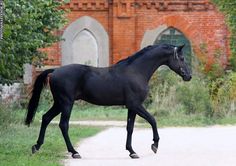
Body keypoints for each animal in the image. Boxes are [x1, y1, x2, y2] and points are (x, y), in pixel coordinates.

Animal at [24, 43, 191, 159]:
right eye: (182, 58)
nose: (188, 76)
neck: (136, 71)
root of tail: (55, 71)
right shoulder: (136, 105)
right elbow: (153, 120)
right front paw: (154, 145)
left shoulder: (131, 107)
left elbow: (130, 128)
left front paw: (132, 151)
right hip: (66, 103)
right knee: (63, 125)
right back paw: (74, 152)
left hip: (59, 103)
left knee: (46, 118)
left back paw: (36, 146)